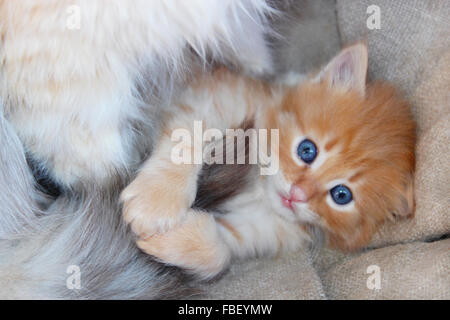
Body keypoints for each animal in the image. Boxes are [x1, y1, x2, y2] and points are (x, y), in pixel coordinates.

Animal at [119, 43, 414, 278]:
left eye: (341, 195)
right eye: (307, 150)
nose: (297, 194)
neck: (259, 188)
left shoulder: (268, 229)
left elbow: (223, 251)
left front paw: (173, 239)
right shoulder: (217, 97)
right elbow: (186, 139)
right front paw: (156, 200)